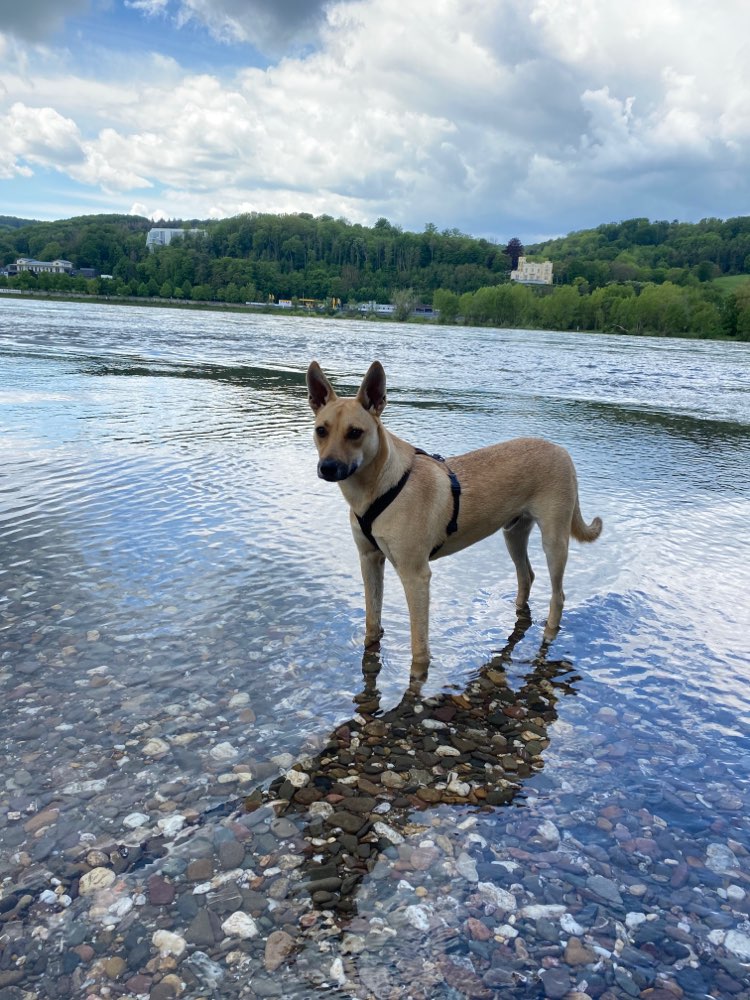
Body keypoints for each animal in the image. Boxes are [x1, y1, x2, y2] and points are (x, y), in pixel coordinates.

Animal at [308, 362, 604, 664]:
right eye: (321, 430)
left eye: (355, 432)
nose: (327, 467)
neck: (378, 488)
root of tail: (562, 450)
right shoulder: (369, 561)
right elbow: (372, 621)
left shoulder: (415, 576)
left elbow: (419, 646)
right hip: (514, 534)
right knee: (526, 577)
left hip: (554, 541)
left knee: (558, 594)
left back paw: (549, 632)